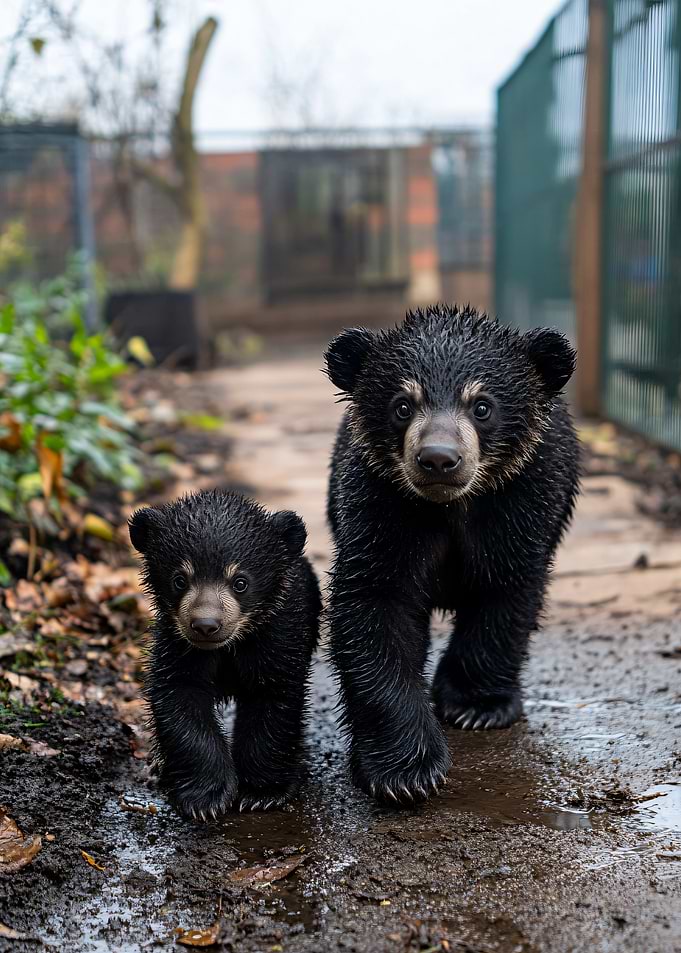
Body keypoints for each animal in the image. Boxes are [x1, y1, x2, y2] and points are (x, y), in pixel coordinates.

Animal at [128, 489, 321, 820]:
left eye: (240, 582)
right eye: (180, 579)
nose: (205, 625)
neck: (229, 647)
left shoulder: (277, 636)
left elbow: (274, 699)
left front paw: (260, 793)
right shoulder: (176, 643)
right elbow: (180, 697)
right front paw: (206, 799)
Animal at [324, 304, 580, 805]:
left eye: (482, 406)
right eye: (403, 405)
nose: (439, 459)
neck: (450, 506)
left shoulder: (522, 501)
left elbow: (506, 590)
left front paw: (475, 706)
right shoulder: (380, 502)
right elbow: (375, 604)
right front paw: (405, 771)